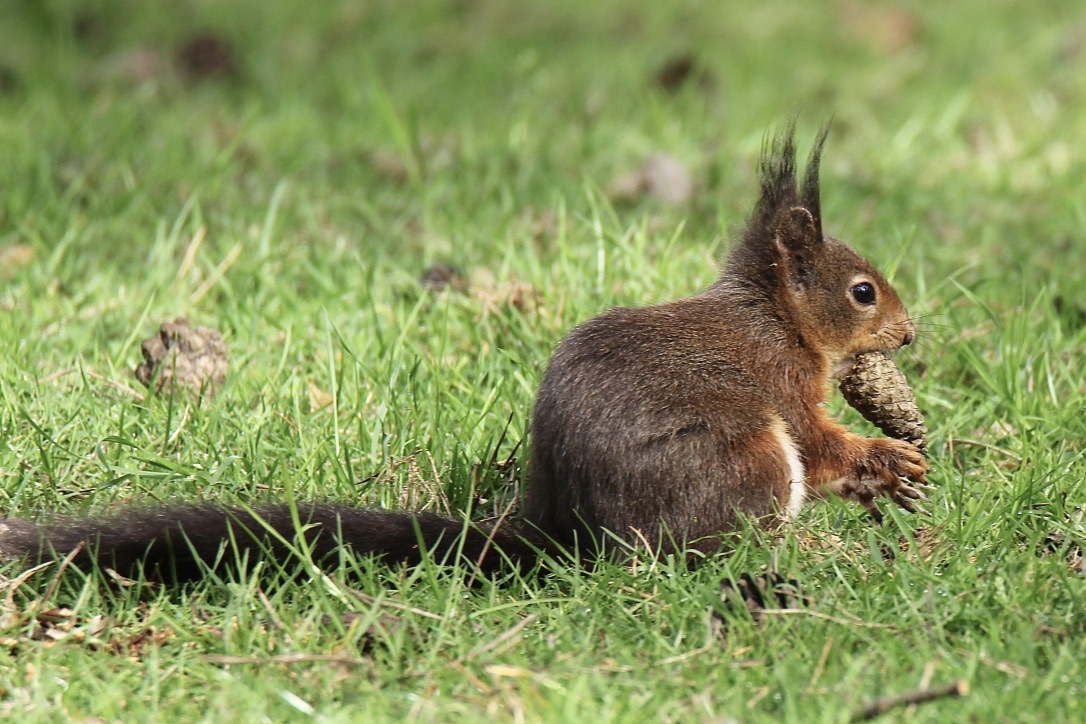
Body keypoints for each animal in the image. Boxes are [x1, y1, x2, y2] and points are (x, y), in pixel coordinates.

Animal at [0, 123, 925, 577]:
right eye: (862, 291)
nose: (911, 333)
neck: (774, 317)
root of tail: (565, 532)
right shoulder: (781, 383)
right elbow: (820, 442)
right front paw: (884, 458)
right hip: (745, 462)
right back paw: (808, 550)